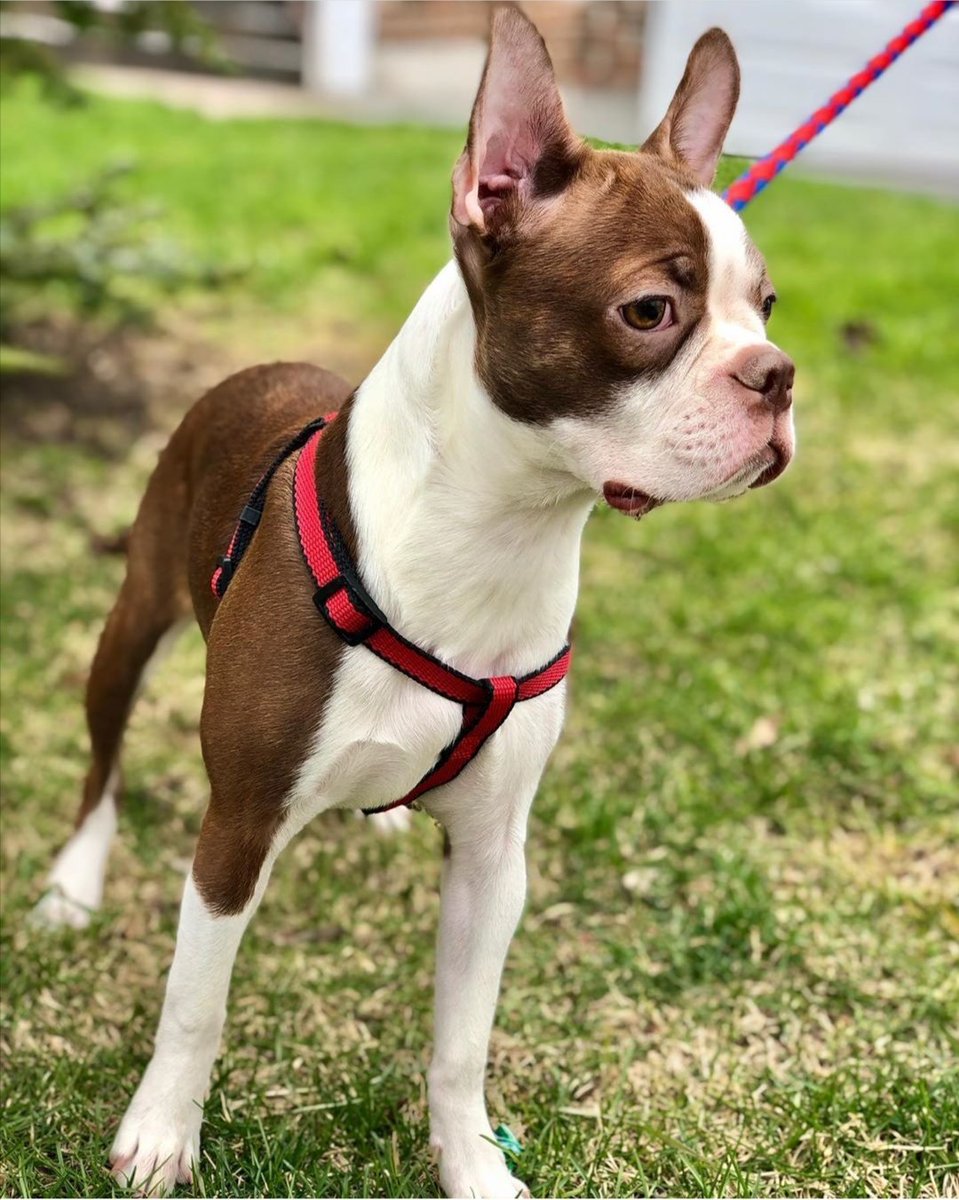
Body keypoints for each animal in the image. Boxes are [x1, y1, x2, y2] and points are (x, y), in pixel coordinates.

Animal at [33, 11, 796, 1200]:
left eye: (763, 309)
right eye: (649, 312)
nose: (777, 373)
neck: (501, 532)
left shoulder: (494, 861)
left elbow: (461, 1038)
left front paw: (470, 1162)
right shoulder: (236, 825)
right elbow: (195, 1005)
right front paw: (160, 1135)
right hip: (130, 627)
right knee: (103, 762)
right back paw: (73, 884)